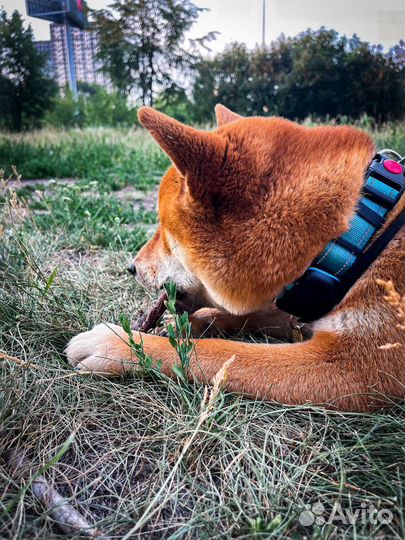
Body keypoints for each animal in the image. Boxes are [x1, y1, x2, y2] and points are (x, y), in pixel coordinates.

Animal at [64, 104, 402, 410]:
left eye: (162, 226)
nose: (131, 267)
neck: (356, 238)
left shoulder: (353, 368)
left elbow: (220, 352)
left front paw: (122, 343)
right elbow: (249, 316)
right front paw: (189, 323)